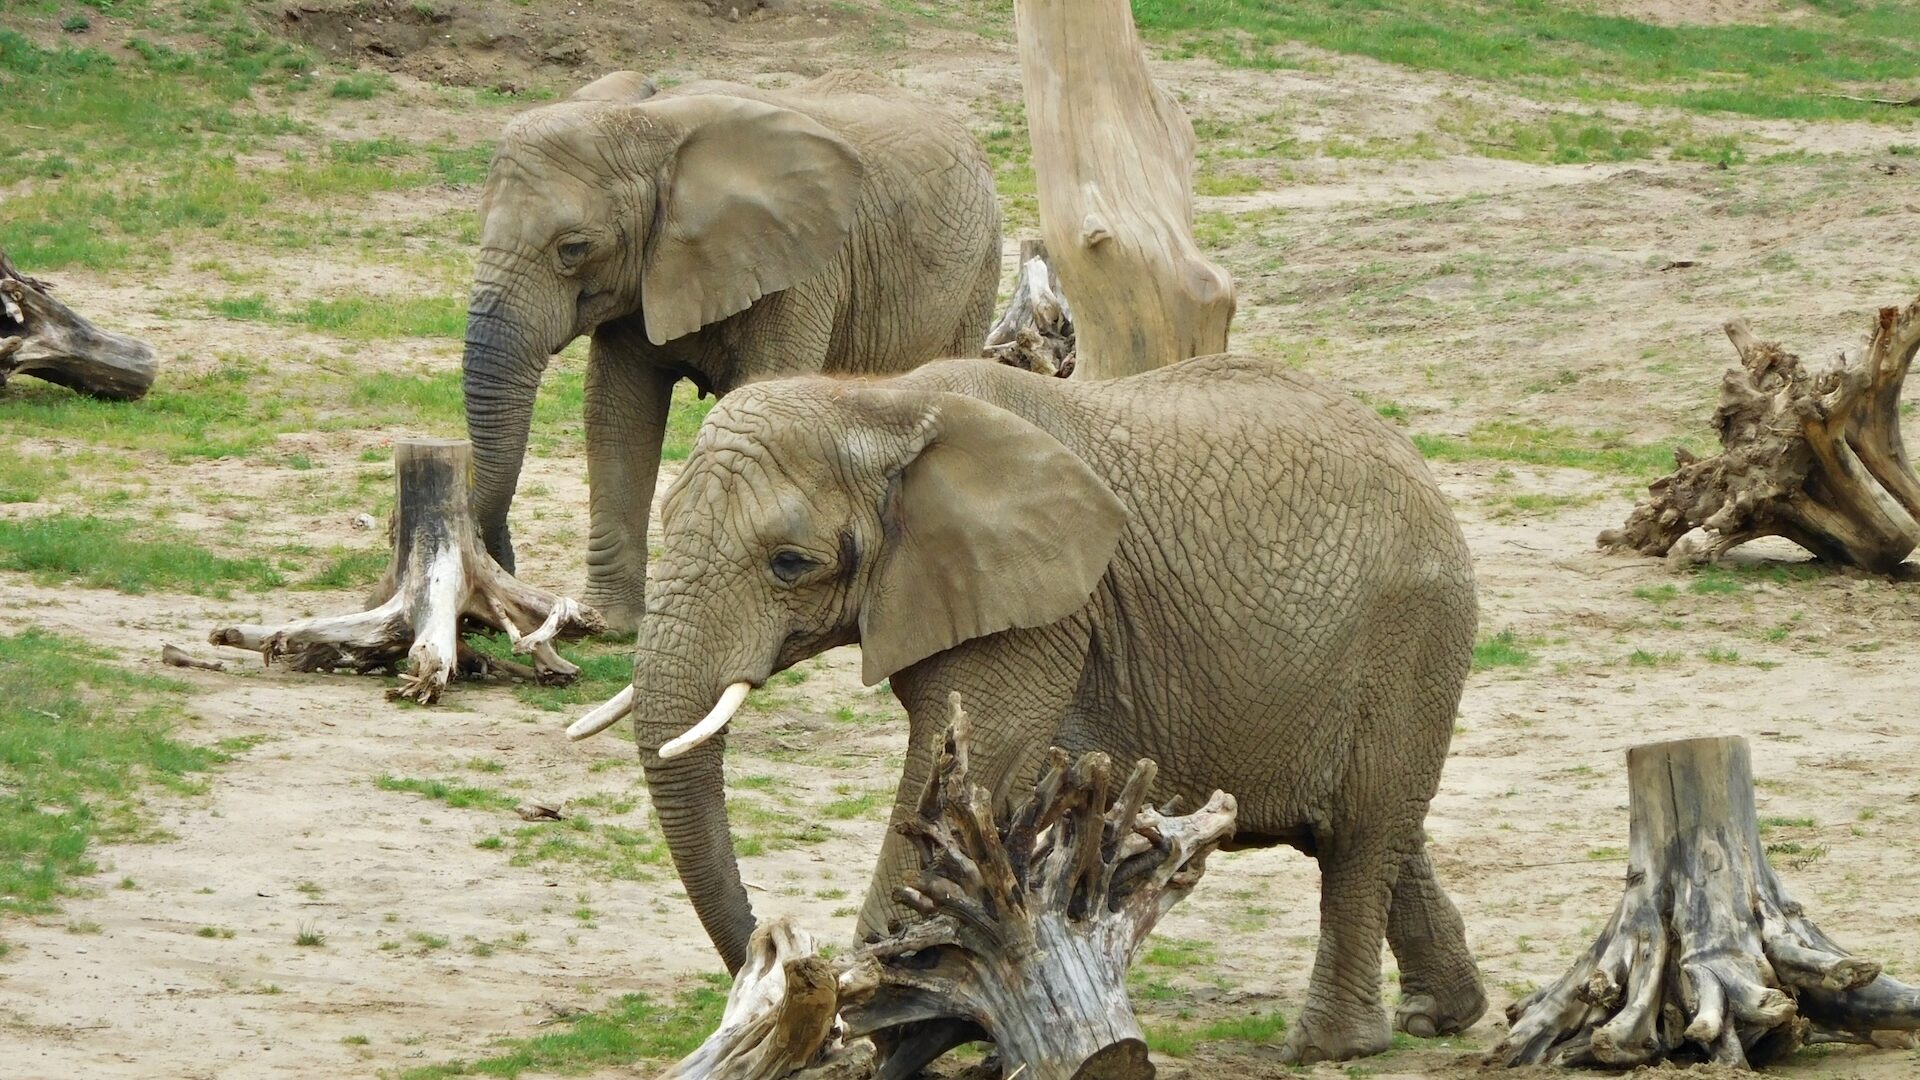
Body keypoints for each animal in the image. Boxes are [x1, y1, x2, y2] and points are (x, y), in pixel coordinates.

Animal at [462, 67, 1006, 626]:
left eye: (574, 248)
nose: (501, 562)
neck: (649, 125)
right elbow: (618, 410)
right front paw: (610, 625)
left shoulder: (799, 270)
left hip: (981, 262)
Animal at [610, 353, 1482, 1060]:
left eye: (790, 563)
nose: (777, 957)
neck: (882, 400)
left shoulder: (1039, 613)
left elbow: (962, 772)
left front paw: (882, 1025)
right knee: (1378, 828)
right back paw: (1442, 1018)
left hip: (1410, 633)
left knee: (1363, 833)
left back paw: (1329, 1047)